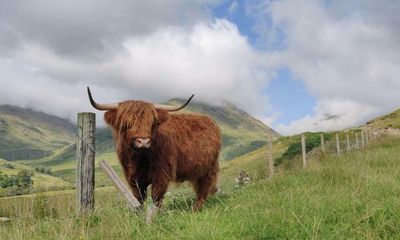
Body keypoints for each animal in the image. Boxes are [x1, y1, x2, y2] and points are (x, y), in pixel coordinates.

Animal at [86, 87, 222, 211]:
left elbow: (156, 195)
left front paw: (155, 214)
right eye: (127, 123)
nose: (144, 141)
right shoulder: (132, 176)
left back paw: (196, 209)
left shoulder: (162, 172)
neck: (138, 159)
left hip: (209, 168)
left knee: (204, 189)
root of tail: (210, 121)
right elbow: (139, 197)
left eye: (151, 122)